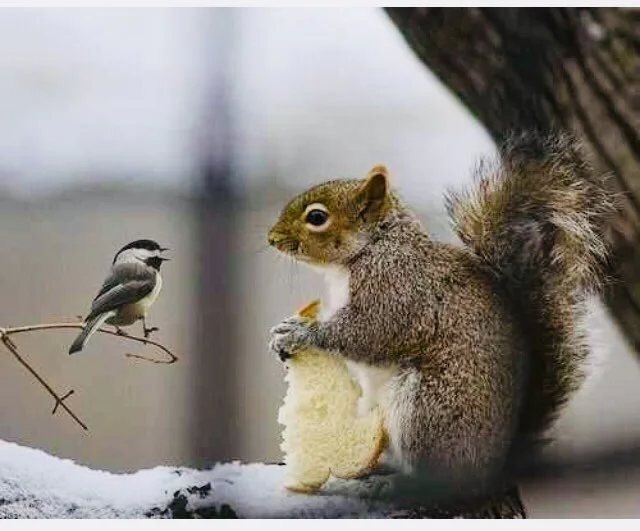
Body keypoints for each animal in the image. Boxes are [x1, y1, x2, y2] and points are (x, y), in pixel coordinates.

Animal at [267, 131, 616, 516]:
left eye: (316, 217)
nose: (271, 238)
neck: (372, 247)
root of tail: (492, 472)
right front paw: (284, 330)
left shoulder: (397, 289)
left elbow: (368, 333)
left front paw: (300, 333)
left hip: (427, 411)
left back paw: (390, 485)